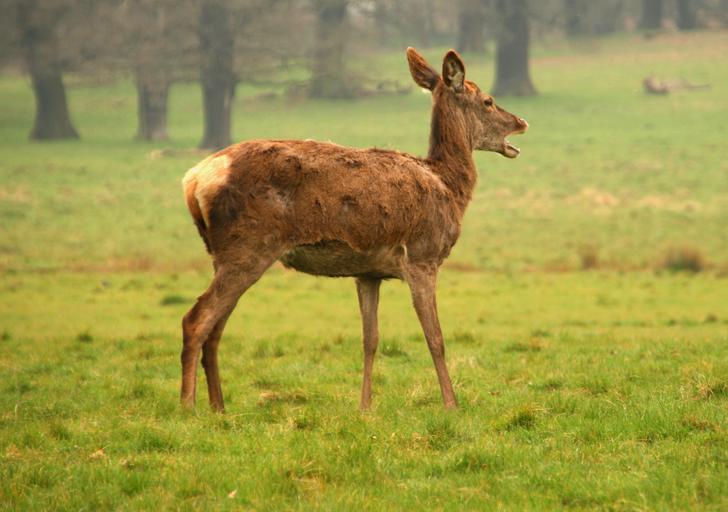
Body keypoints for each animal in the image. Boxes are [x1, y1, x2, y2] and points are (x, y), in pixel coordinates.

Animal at [180, 47, 528, 412]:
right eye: (488, 101)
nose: (521, 122)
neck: (449, 187)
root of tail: (194, 180)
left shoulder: (368, 272)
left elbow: (370, 339)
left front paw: (365, 406)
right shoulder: (422, 257)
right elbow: (435, 337)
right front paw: (452, 404)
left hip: (225, 253)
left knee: (215, 328)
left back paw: (219, 408)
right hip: (248, 246)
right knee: (196, 320)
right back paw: (188, 407)